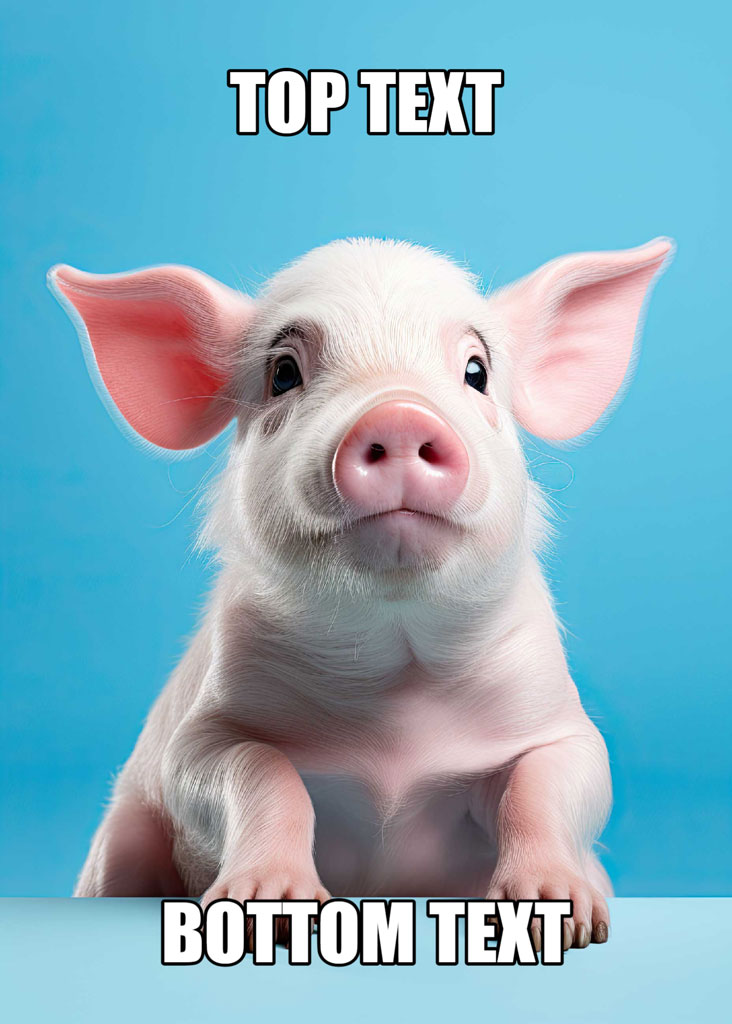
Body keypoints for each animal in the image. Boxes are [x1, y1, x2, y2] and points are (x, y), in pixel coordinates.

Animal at [49, 235, 673, 950]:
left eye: (476, 371)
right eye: (283, 373)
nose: (399, 413)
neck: (396, 693)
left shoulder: (556, 720)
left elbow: (550, 782)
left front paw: (557, 917)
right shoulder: (201, 734)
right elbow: (256, 771)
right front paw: (270, 909)